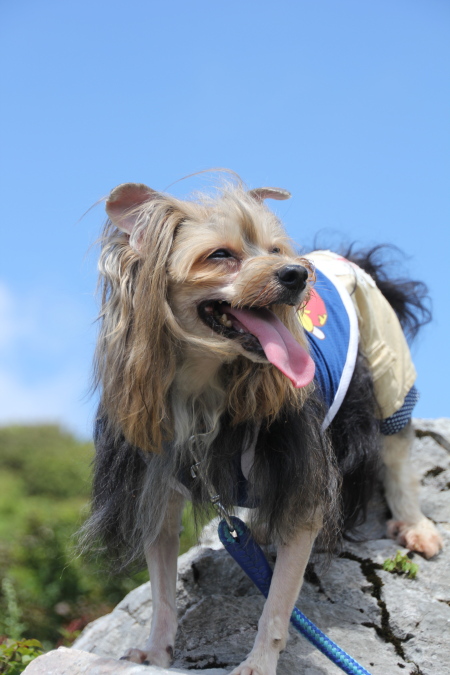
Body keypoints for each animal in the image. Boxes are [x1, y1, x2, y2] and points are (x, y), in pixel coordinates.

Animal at [83, 178, 442, 675]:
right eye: (219, 255)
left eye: (275, 249)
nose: (298, 274)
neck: (204, 383)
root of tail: (345, 255)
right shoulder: (159, 484)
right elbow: (161, 591)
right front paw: (155, 652)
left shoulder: (304, 481)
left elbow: (277, 601)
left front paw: (257, 663)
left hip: (387, 362)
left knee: (397, 453)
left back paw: (416, 527)